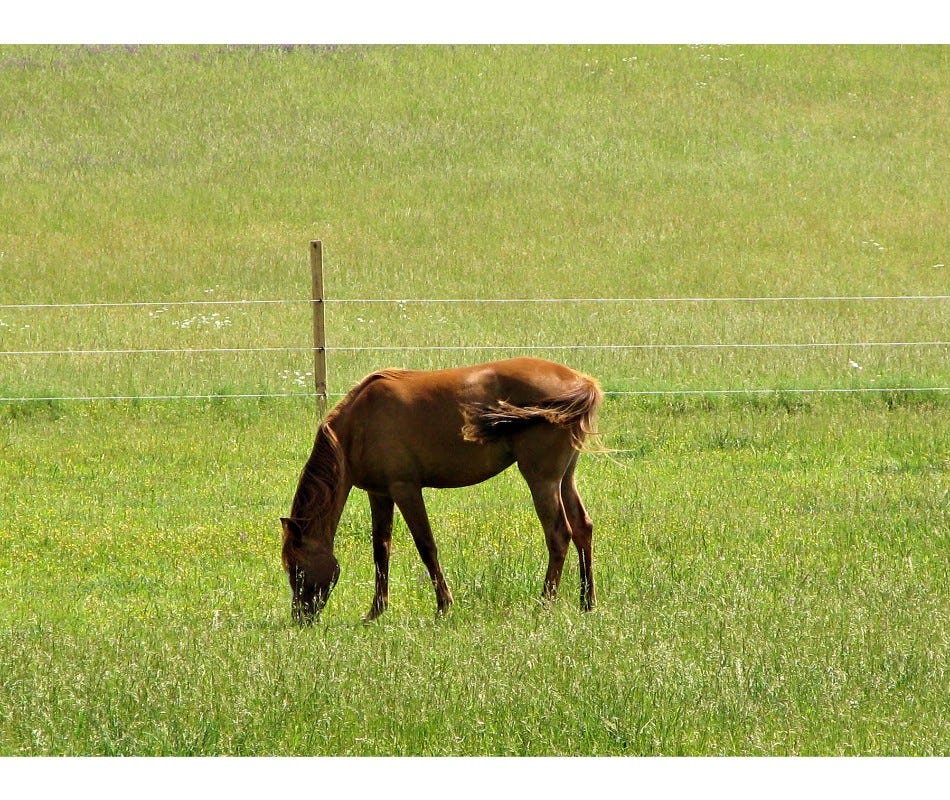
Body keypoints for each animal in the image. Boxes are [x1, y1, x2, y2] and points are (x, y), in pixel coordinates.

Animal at [280, 356, 604, 624]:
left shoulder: (405, 489)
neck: (358, 424)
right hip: (565, 479)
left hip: (542, 480)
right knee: (582, 528)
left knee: (559, 534)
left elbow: (426, 546)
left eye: (296, 568)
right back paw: (587, 603)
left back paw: (544, 605)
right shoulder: (380, 493)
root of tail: (580, 381)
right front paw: (376, 611)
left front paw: (443, 606)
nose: (300, 617)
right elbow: (381, 549)